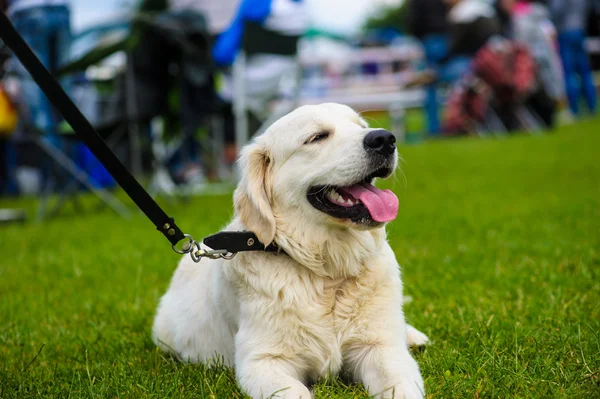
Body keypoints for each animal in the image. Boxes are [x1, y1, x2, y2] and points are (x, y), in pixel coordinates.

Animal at [152, 104, 428, 399]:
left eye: (361, 126)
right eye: (317, 137)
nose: (384, 139)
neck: (326, 272)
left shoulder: (380, 347)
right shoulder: (263, 361)